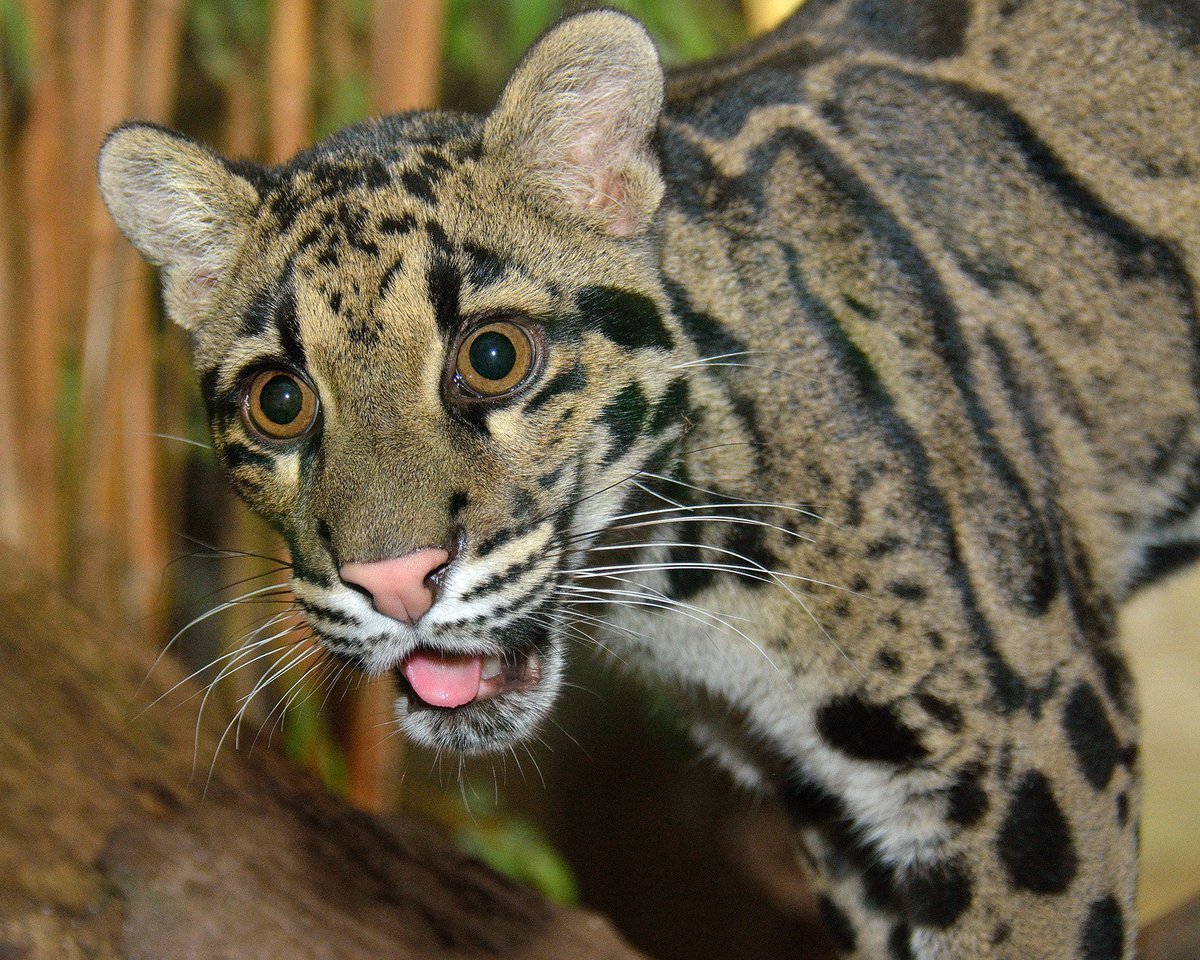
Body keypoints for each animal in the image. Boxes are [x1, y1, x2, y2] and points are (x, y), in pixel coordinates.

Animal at [96, 3, 1200, 955]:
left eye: (493, 356)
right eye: (279, 402)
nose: (395, 581)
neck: (684, 581)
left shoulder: (1025, 753)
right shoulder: (836, 801)